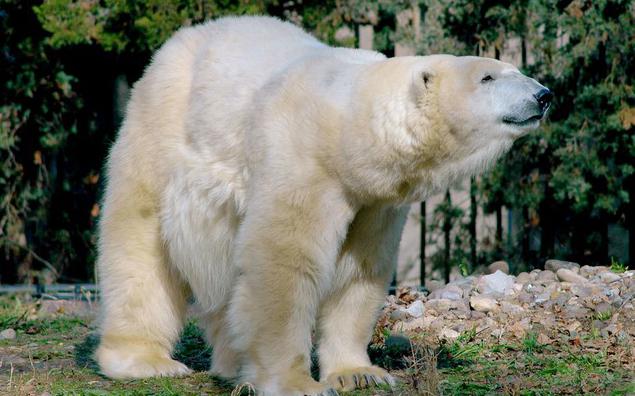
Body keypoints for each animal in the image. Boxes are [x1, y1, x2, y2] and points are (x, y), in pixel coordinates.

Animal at [94, 15, 552, 396]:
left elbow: (359, 268)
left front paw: (359, 373)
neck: (350, 125)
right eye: (488, 76)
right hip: (161, 129)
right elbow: (284, 261)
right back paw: (144, 360)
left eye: (515, 69)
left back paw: (230, 364)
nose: (544, 95)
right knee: (138, 242)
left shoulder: (375, 201)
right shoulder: (304, 161)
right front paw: (295, 382)